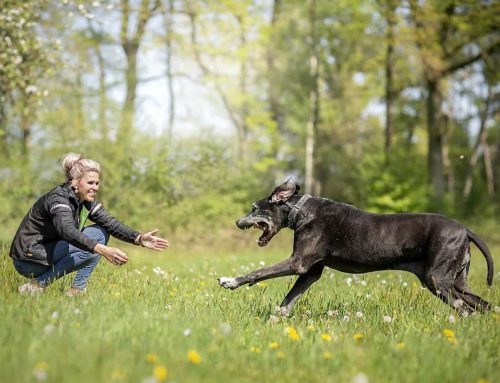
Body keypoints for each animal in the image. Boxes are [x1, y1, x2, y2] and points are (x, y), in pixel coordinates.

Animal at [218, 178, 492, 316]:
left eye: (254, 208)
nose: (237, 221)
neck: (302, 211)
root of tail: (465, 229)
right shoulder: (311, 272)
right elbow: (288, 300)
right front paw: (277, 320)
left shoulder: (299, 263)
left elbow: (259, 272)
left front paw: (231, 281)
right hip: (456, 282)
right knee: (482, 306)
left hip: (437, 280)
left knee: (465, 310)